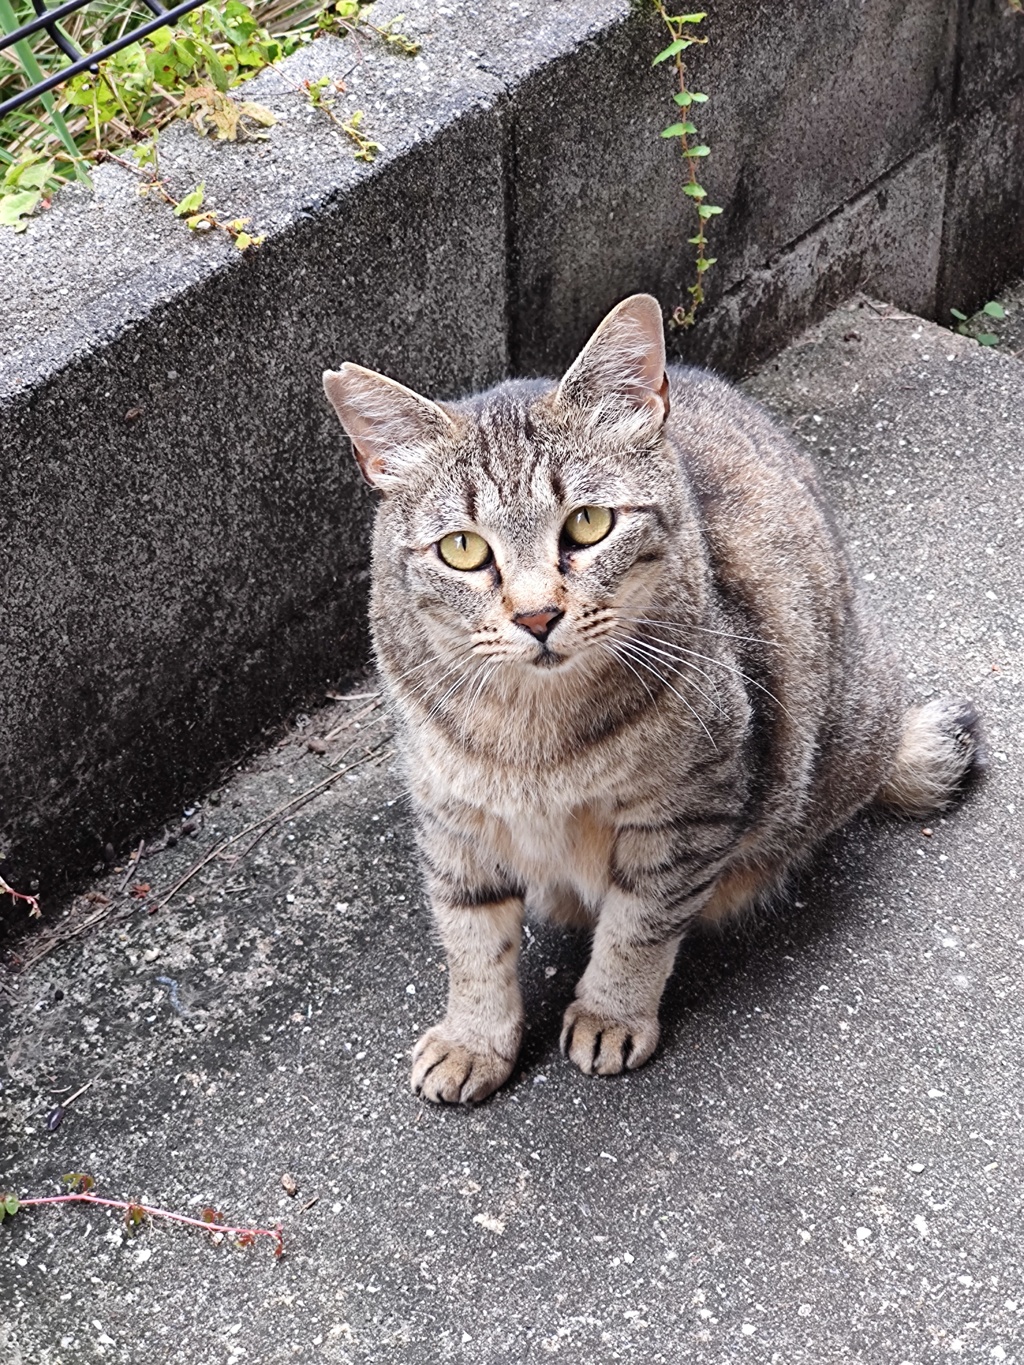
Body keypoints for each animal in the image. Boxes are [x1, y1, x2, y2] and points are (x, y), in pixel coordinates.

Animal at [324, 293, 983, 1102]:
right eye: (463, 549)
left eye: (587, 524)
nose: (536, 616)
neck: (529, 728)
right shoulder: (453, 818)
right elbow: (471, 939)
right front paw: (474, 1039)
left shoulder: (688, 812)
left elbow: (638, 928)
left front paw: (609, 1013)